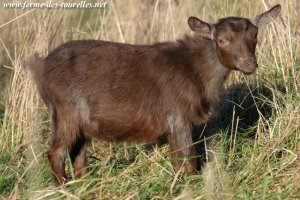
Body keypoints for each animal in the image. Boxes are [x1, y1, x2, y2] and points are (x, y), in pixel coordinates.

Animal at [26, 4, 282, 185]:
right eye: (221, 40)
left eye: (255, 35)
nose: (249, 64)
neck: (195, 69)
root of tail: (41, 67)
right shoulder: (178, 116)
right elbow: (188, 158)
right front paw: (189, 187)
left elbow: (179, 160)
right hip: (65, 110)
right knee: (56, 152)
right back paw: (64, 188)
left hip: (79, 120)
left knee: (78, 153)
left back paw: (86, 185)